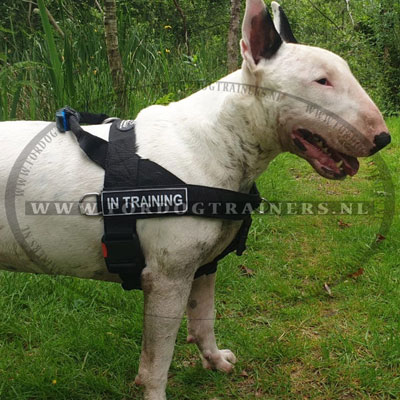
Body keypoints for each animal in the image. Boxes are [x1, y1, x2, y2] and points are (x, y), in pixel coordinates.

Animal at [0, 1, 390, 398]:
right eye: (321, 81)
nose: (383, 138)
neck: (220, 137)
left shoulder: (203, 266)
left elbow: (204, 319)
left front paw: (215, 361)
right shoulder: (166, 279)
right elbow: (157, 360)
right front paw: (155, 390)